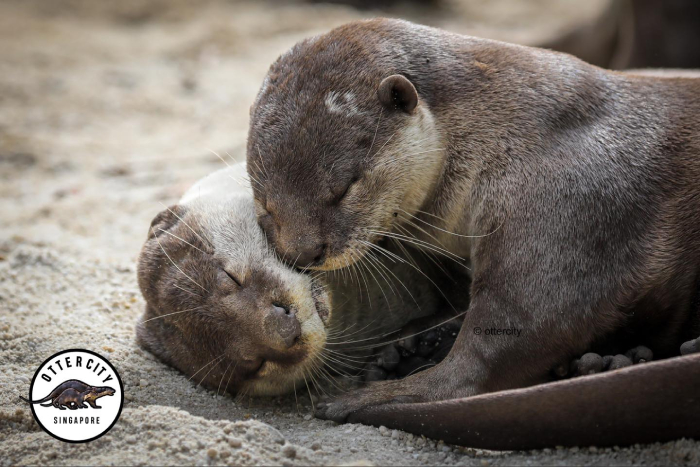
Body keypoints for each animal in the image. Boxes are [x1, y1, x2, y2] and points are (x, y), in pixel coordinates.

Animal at [245, 18, 700, 441]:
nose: (302, 252)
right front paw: (415, 338)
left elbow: (518, 333)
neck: (503, 135)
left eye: (344, 188)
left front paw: (378, 393)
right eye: (264, 201)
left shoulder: (568, 200)